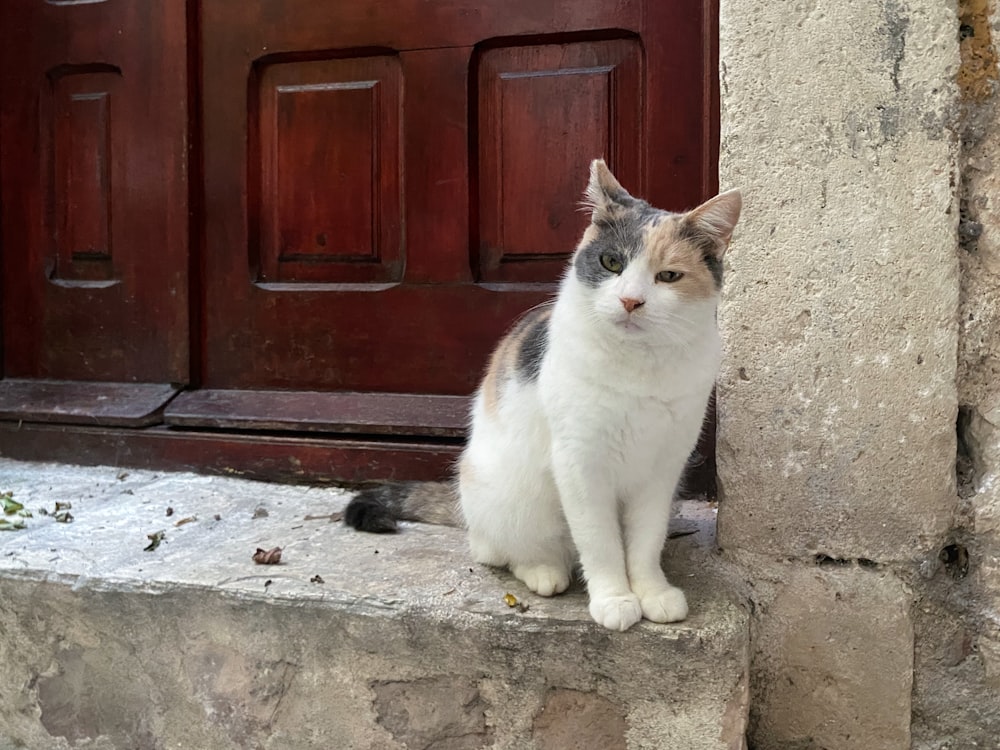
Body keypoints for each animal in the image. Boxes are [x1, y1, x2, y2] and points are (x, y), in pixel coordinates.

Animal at [346, 160, 744, 636]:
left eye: (668, 276)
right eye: (611, 262)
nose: (630, 300)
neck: (639, 366)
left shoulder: (662, 468)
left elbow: (644, 542)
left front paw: (651, 592)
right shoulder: (580, 464)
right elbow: (601, 542)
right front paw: (614, 598)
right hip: (511, 496)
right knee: (496, 550)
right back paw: (543, 571)